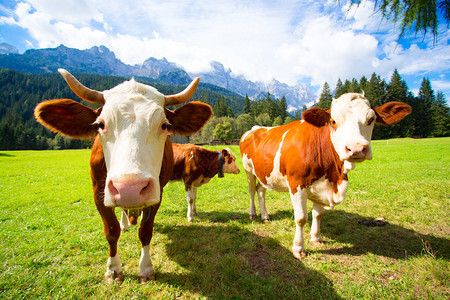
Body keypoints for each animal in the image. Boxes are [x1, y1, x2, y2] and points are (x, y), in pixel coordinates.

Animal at [33, 69, 213, 282]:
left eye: (164, 125)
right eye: (101, 124)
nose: (130, 189)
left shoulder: (157, 193)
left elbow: (146, 231)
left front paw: (145, 269)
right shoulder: (99, 192)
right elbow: (111, 231)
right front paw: (113, 269)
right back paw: (125, 223)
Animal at [239, 94, 412, 260]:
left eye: (371, 119)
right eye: (333, 121)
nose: (356, 148)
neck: (334, 174)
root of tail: (255, 128)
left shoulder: (322, 186)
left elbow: (318, 214)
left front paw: (316, 238)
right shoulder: (297, 185)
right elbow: (301, 218)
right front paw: (298, 248)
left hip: (263, 174)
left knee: (261, 192)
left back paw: (265, 216)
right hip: (249, 170)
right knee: (252, 191)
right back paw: (253, 214)